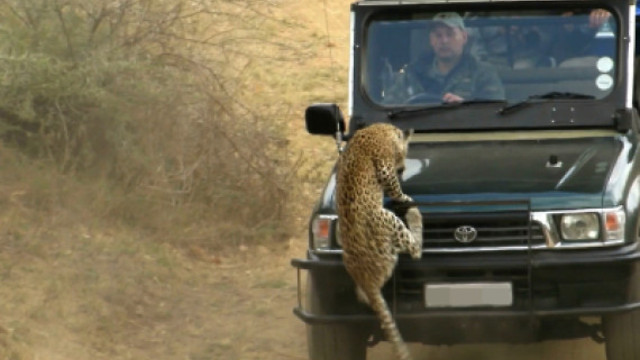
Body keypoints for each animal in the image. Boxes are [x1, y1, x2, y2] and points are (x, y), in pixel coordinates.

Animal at [336, 122, 424, 358]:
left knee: (361, 296)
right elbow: (396, 190)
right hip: (385, 218)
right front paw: (405, 196)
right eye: (405, 154)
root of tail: (364, 277)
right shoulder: (385, 167)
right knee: (415, 250)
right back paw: (414, 214)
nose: (403, 169)